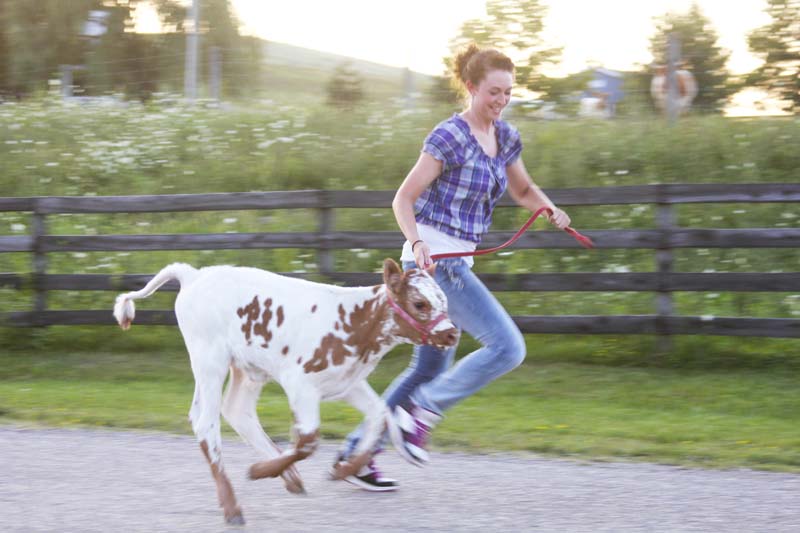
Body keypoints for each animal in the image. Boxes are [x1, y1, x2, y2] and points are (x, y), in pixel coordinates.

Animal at [115, 258, 460, 524]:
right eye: (419, 303)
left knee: (236, 411)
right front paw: (258, 471)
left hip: (248, 368)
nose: (452, 334)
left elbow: (380, 417)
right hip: (210, 360)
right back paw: (233, 507)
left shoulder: (348, 383)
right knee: (206, 423)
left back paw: (290, 478)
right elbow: (308, 441)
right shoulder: (300, 383)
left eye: (444, 300)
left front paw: (344, 469)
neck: (356, 323)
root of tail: (195, 274)